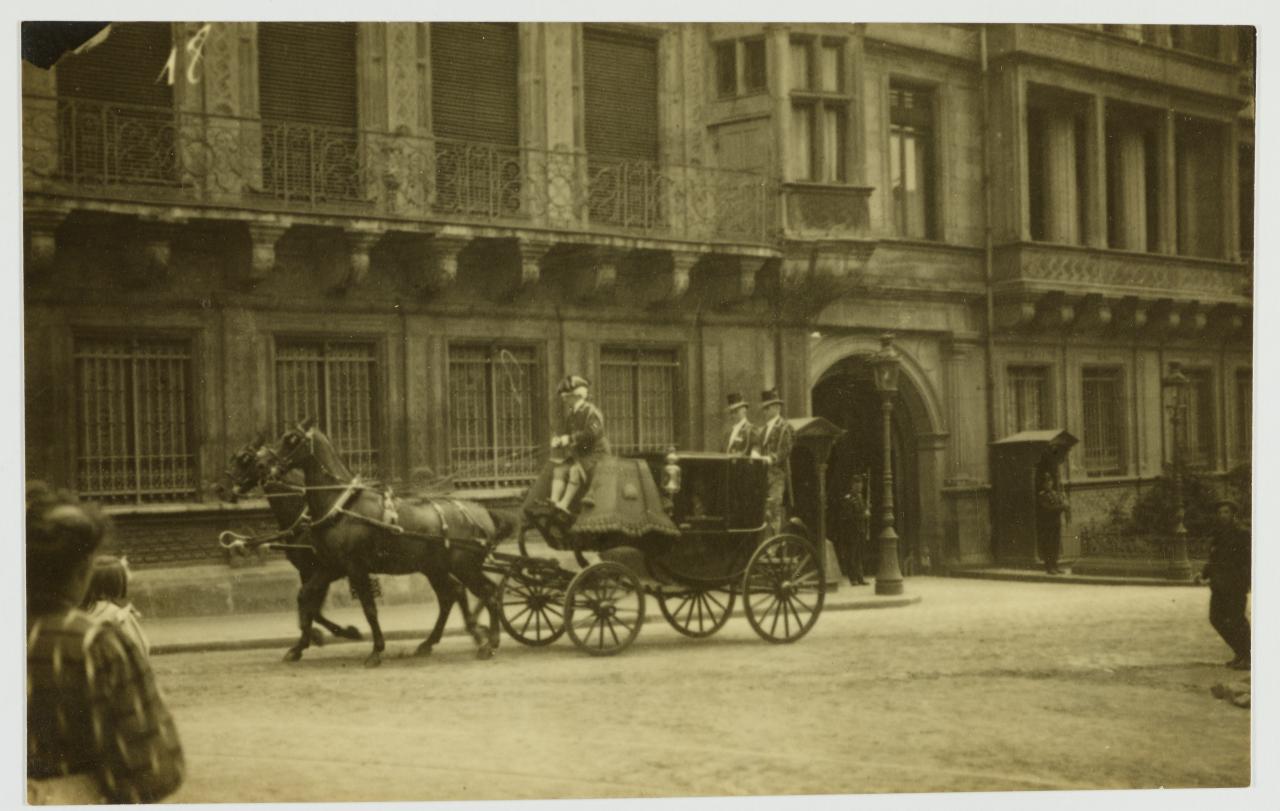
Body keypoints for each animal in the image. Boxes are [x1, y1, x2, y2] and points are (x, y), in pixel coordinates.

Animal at [218, 440, 368, 660]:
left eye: (246, 460)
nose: (220, 489)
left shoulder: (325, 570)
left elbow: (310, 607)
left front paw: (332, 634)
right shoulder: (308, 571)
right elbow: (311, 609)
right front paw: (312, 637)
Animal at [270, 417, 509, 665]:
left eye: (291, 438)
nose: (266, 463)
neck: (342, 506)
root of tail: (483, 513)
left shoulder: (354, 567)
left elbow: (369, 608)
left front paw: (376, 650)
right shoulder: (330, 566)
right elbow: (305, 597)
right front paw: (300, 646)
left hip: (465, 567)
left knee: (489, 593)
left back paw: (489, 643)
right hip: (436, 568)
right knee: (451, 596)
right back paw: (433, 642)